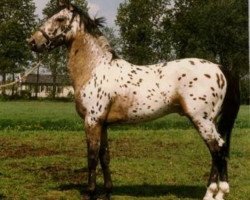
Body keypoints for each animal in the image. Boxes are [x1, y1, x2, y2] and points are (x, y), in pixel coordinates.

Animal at [27, 0, 240, 199]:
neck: (95, 69)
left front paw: (90, 192)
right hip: (209, 121)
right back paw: (214, 194)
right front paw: (107, 192)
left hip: (202, 120)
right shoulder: (103, 123)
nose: (32, 42)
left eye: (59, 19)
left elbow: (92, 157)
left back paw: (216, 193)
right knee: (218, 151)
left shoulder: (92, 121)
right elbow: (105, 157)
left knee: (218, 150)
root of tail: (219, 68)